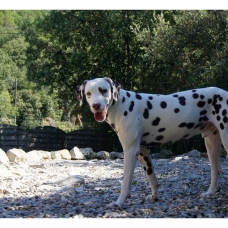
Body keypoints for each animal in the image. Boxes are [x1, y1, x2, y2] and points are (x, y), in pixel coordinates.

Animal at [77, 76, 227, 208]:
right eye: (88, 93)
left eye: (103, 90)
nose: (96, 105)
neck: (122, 104)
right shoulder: (143, 151)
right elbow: (151, 177)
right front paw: (154, 196)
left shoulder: (130, 151)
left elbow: (125, 182)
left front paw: (119, 202)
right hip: (211, 143)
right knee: (216, 170)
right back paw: (210, 193)